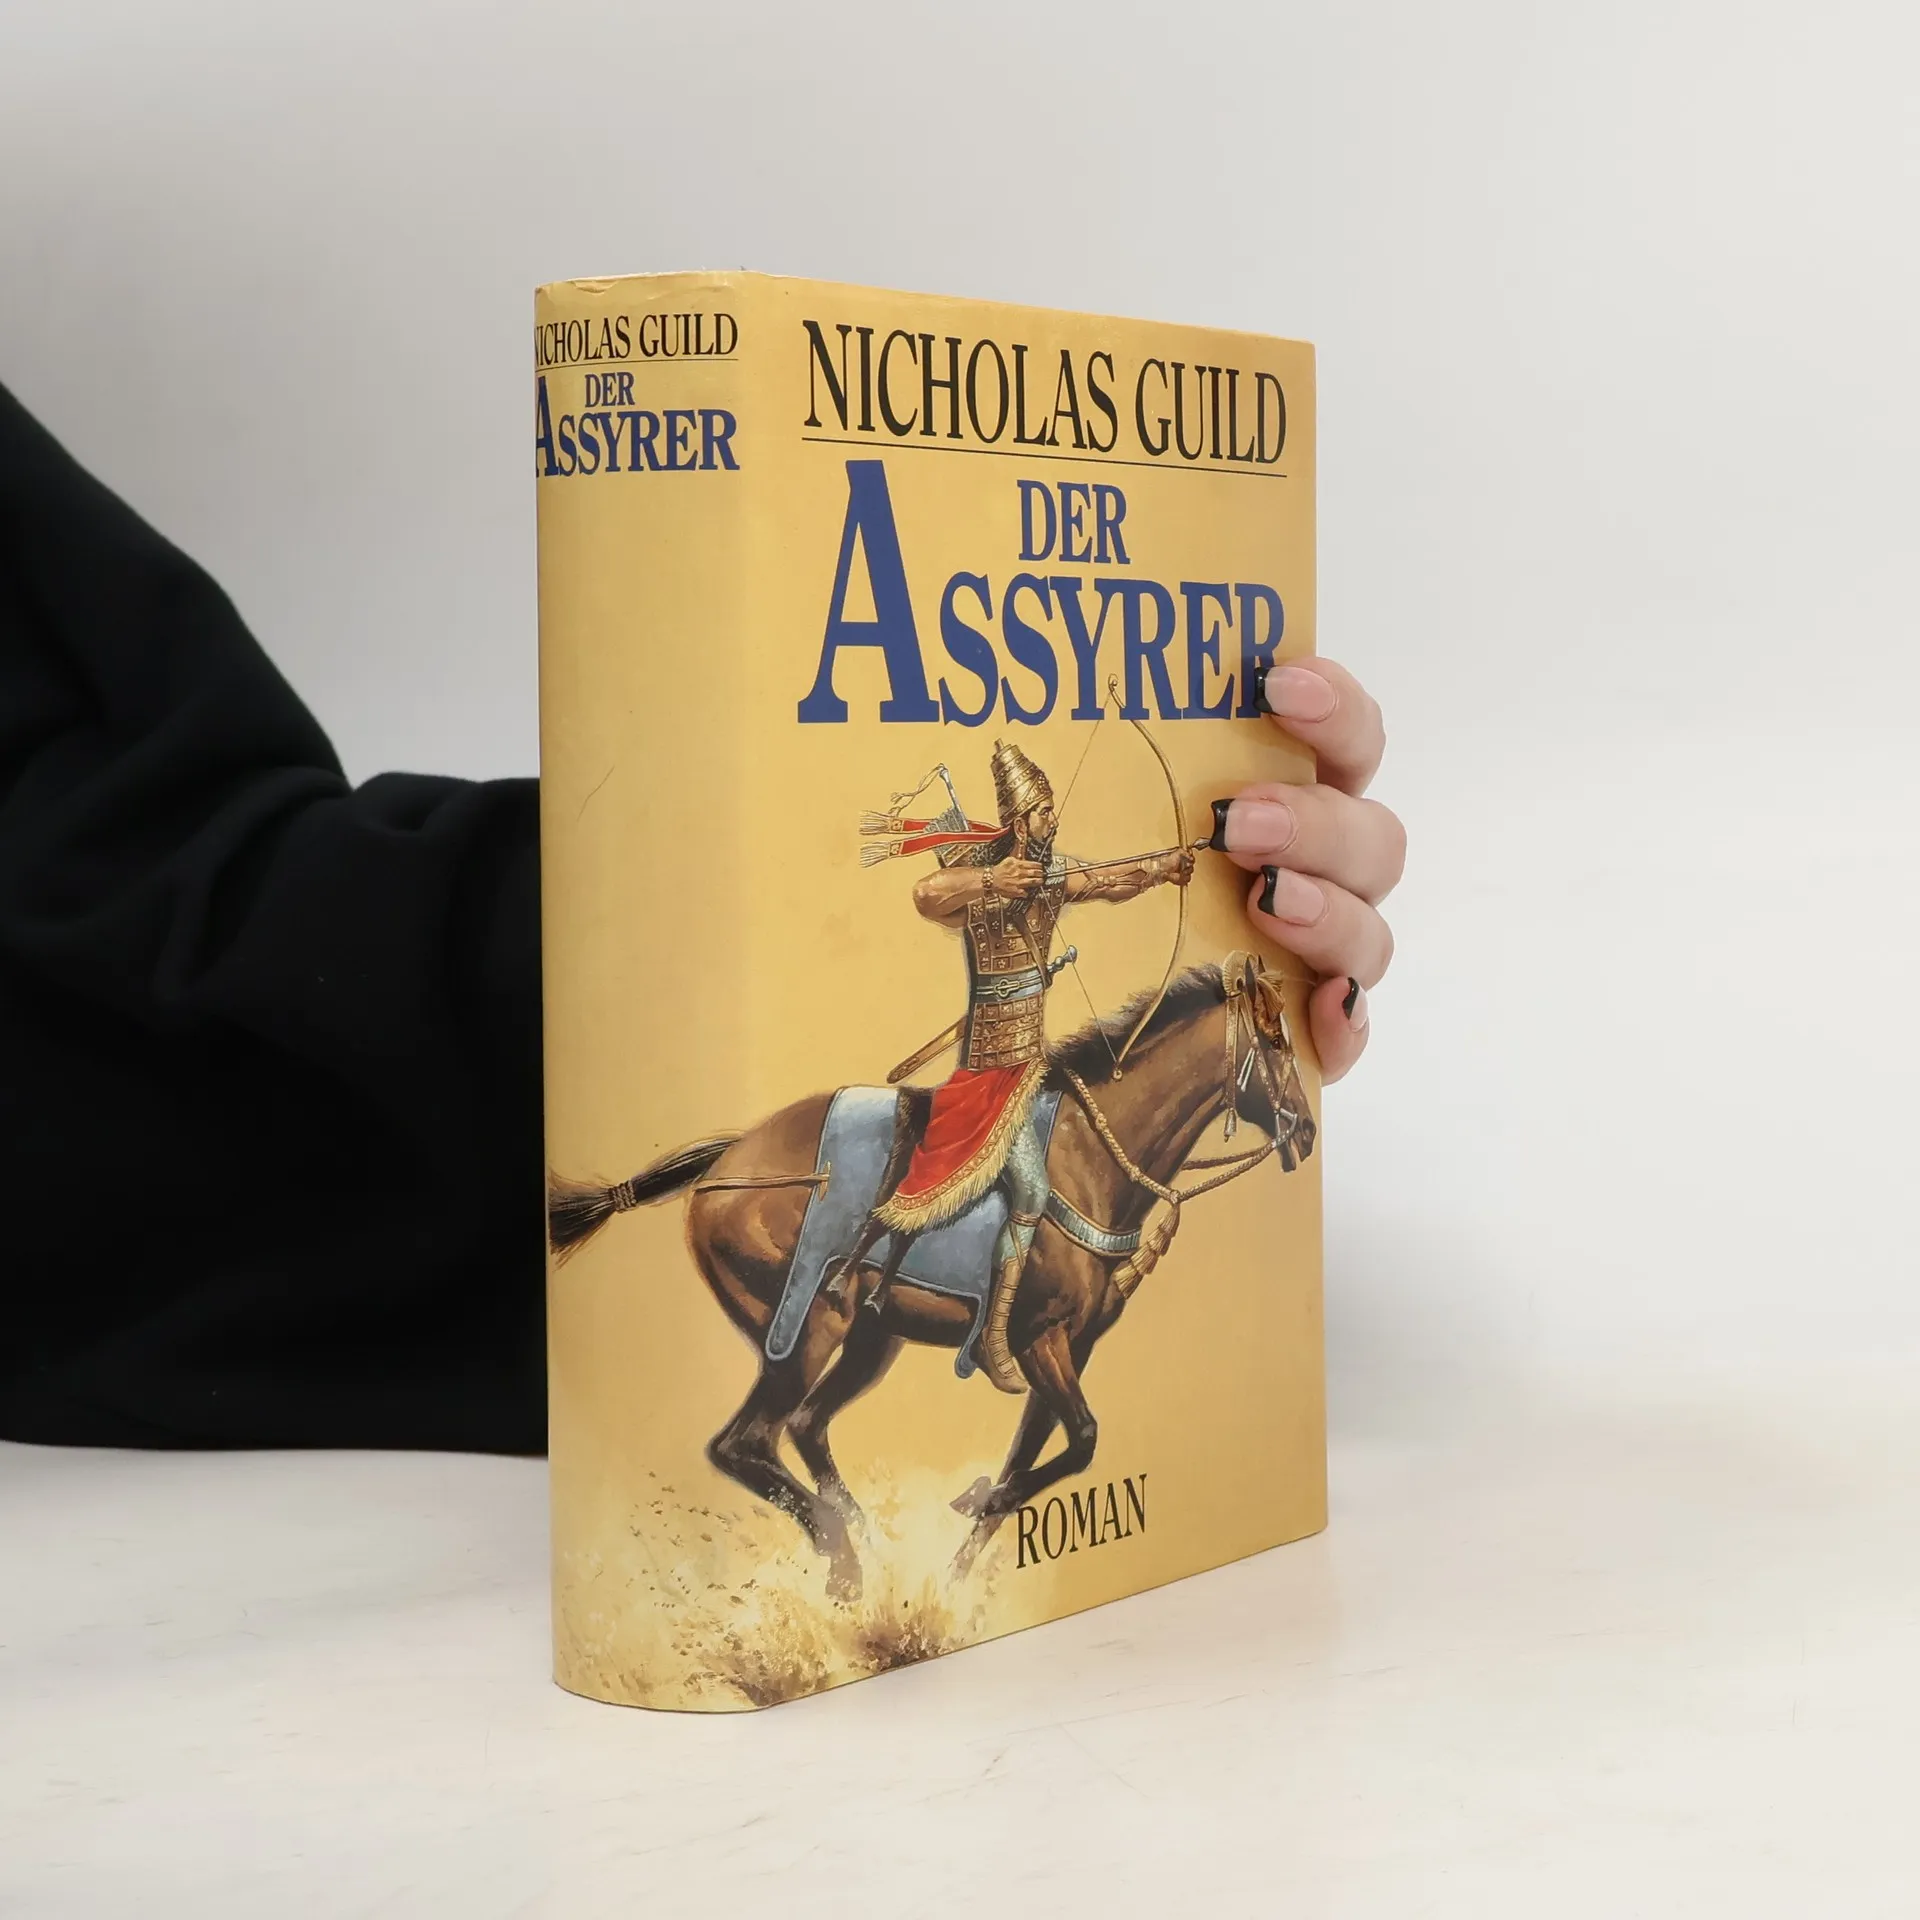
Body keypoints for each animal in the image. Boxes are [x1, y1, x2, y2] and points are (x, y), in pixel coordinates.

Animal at [547, 953, 1315, 1601]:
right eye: (1276, 1040)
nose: (1305, 1132)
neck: (1086, 1154)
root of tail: (722, 1166)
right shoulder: (1040, 1344)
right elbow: (1081, 1441)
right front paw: (966, 1511)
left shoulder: (1072, 1351)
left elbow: (1032, 1465)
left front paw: (956, 1569)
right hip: (807, 1329)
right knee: (744, 1443)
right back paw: (845, 1560)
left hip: (869, 1338)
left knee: (804, 1426)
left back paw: (861, 1539)